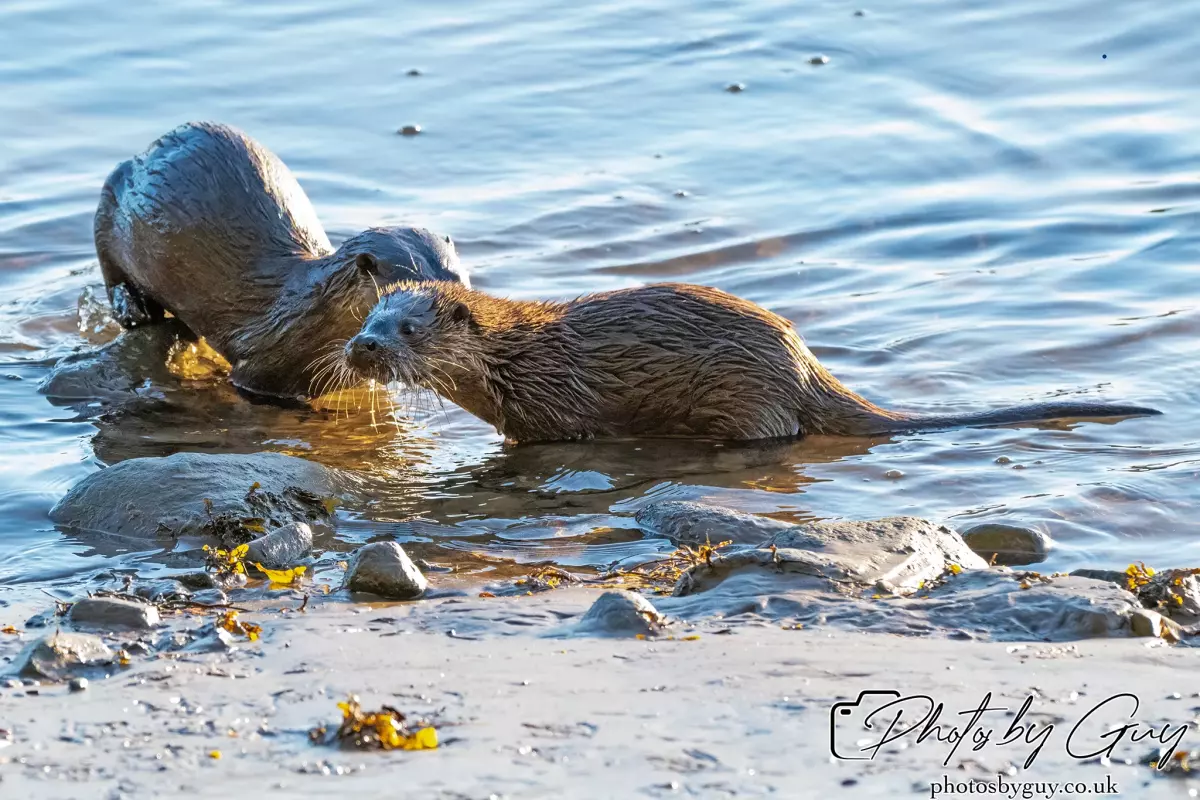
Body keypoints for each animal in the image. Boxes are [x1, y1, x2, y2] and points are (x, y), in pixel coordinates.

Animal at [95, 121, 466, 400]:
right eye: (410, 287)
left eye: (459, 279)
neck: (303, 319)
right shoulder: (258, 368)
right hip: (108, 203)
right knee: (111, 272)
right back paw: (135, 309)